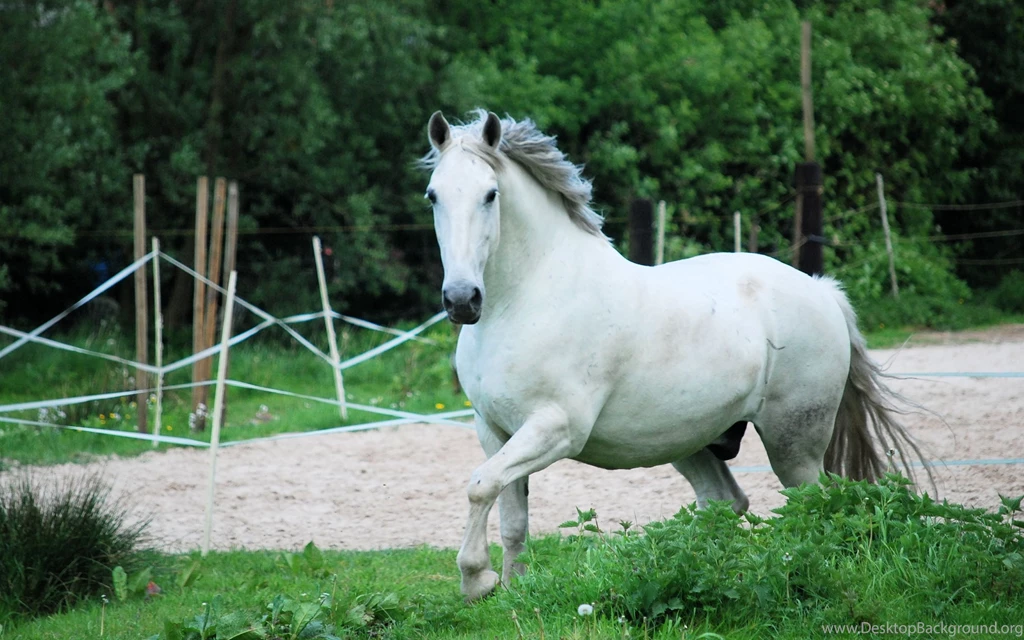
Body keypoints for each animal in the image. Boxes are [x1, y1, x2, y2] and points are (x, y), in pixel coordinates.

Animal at [420, 109, 927, 602]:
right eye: (433, 196)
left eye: (490, 194)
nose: (462, 300)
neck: (525, 299)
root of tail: (822, 290)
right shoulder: (494, 430)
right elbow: (510, 514)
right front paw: (512, 589)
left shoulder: (556, 428)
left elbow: (480, 486)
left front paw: (477, 579)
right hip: (690, 441)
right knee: (725, 502)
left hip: (795, 444)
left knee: (812, 506)